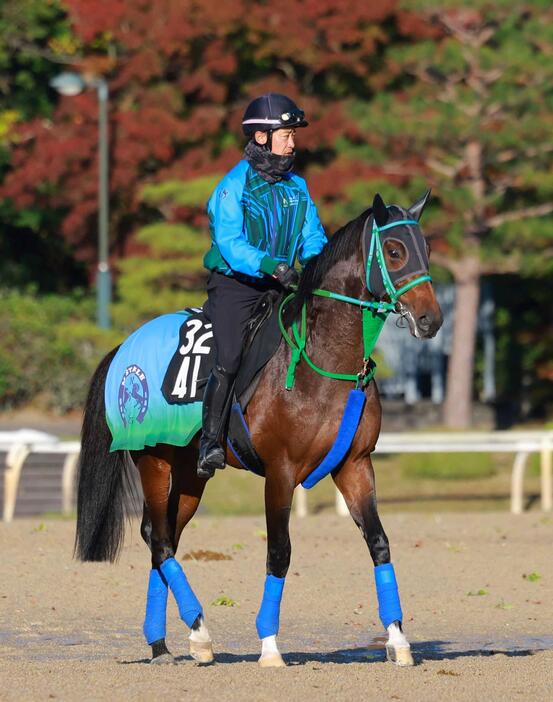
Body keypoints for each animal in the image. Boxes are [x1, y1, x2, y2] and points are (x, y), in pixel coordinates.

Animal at [75, 191, 442, 672]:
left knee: (162, 535)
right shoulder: (280, 472)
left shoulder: (355, 465)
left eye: (427, 249)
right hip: (153, 460)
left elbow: (379, 543)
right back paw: (199, 631)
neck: (322, 359)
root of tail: (123, 346)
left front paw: (399, 640)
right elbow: (279, 552)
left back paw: (163, 644)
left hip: (190, 474)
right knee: (160, 540)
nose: (431, 319)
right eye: (395, 251)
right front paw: (269, 645)